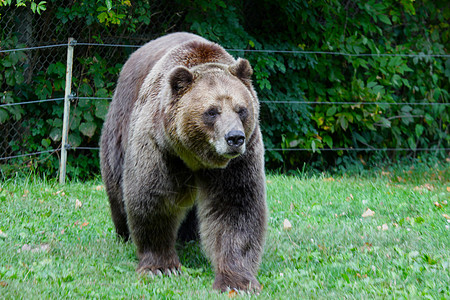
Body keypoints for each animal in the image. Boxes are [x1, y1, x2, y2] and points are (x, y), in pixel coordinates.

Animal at [99, 32, 268, 292]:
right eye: (212, 111)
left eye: (241, 109)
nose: (234, 137)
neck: (196, 157)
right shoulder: (160, 148)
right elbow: (151, 199)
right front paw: (162, 267)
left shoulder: (239, 162)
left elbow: (237, 208)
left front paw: (237, 281)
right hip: (119, 128)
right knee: (117, 189)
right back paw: (123, 234)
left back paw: (188, 237)